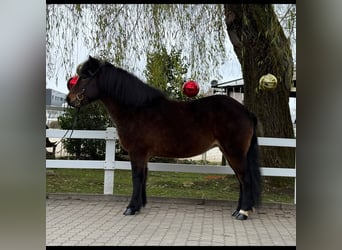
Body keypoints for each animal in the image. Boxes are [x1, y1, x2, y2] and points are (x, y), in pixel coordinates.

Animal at [65, 55, 260, 220]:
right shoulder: (143, 155)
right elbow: (143, 177)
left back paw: (243, 212)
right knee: (241, 180)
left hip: (234, 153)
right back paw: (238, 210)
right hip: (230, 153)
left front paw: (130, 208)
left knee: (245, 179)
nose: (69, 99)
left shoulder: (137, 153)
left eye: (84, 77)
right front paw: (139, 206)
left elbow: (136, 177)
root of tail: (246, 112)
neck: (136, 110)